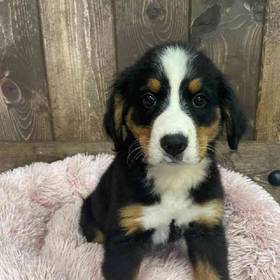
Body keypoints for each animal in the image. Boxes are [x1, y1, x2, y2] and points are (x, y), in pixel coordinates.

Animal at [80, 42, 246, 280]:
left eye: (199, 100)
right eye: (148, 99)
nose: (174, 144)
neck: (172, 178)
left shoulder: (206, 226)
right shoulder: (124, 237)